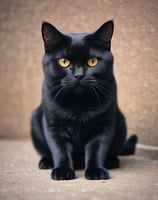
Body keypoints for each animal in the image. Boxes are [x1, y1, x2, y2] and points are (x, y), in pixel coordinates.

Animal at [30, 19, 137, 180]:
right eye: (64, 62)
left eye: (92, 61)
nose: (79, 75)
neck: (78, 104)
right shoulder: (53, 126)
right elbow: (60, 149)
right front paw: (62, 170)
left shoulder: (104, 126)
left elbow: (96, 149)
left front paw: (96, 171)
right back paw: (46, 162)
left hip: (121, 126)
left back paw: (112, 161)